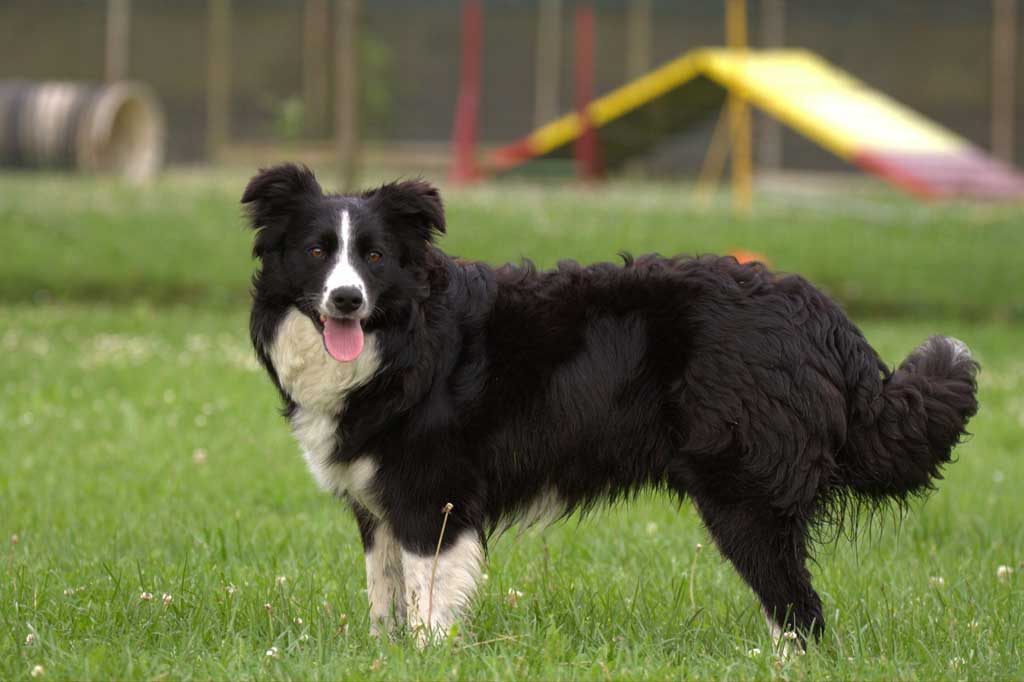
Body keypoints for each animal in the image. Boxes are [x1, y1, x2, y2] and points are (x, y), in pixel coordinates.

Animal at [243, 164, 978, 643]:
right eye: (318, 251)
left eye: (373, 257)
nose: (346, 300)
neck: (402, 338)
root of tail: (823, 316)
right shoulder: (378, 505)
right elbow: (384, 597)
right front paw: (383, 656)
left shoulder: (434, 496)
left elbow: (428, 602)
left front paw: (426, 658)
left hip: (744, 493)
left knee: (800, 613)